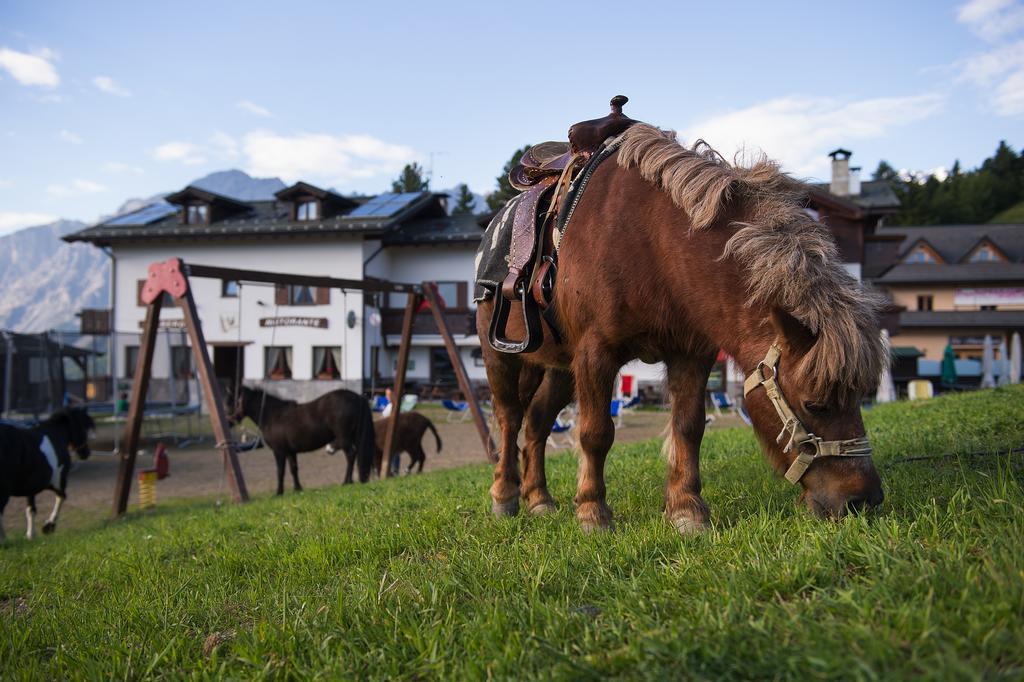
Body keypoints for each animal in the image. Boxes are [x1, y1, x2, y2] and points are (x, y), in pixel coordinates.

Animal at [0, 405, 95, 540]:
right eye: (84, 428)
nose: (86, 453)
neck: (56, 435)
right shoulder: (59, 481)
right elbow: (61, 497)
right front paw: (49, 526)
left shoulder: (31, 486)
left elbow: (31, 509)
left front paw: (31, 535)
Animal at [228, 385, 376, 491]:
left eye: (235, 401)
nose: (229, 421)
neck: (273, 415)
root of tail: (358, 397)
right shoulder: (290, 451)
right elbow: (294, 469)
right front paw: (297, 488)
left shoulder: (279, 451)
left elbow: (280, 471)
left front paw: (278, 492)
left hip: (344, 437)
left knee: (350, 455)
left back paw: (346, 481)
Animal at [479, 124, 888, 532]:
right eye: (815, 404)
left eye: (862, 395)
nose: (863, 500)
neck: (650, 243)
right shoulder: (596, 353)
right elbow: (596, 433)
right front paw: (593, 512)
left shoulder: (691, 353)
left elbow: (689, 427)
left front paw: (686, 509)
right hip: (500, 357)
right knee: (510, 419)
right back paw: (505, 496)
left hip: (560, 369)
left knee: (537, 424)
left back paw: (539, 498)